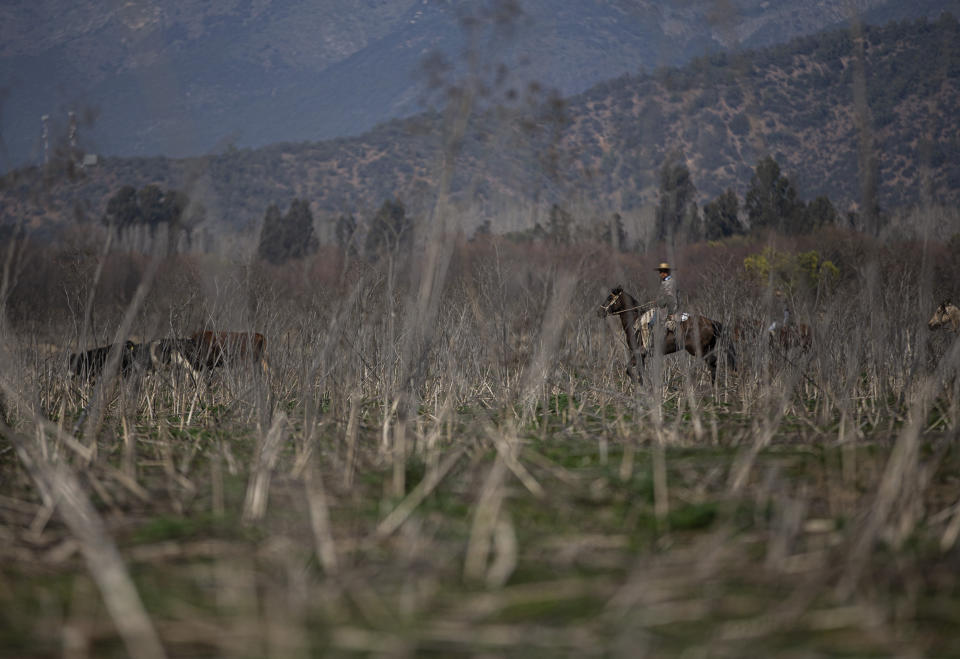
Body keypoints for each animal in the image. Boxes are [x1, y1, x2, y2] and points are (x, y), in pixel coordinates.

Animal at [596, 286, 740, 384]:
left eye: (610, 298)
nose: (599, 312)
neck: (635, 322)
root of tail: (711, 322)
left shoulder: (639, 353)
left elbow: (629, 370)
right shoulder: (641, 356)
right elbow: (640, 372)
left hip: (699, 350)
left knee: (712, 362)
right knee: (713, 364)